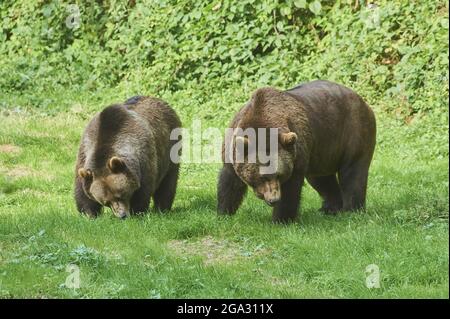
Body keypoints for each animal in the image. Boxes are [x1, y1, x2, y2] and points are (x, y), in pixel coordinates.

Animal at [218, 81, 376, 224]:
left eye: (279, 174)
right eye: (263, 176)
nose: (274, 199)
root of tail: (363, 102)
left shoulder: (295, 153)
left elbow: (290, 189)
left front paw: (281, 220)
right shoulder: (232, 147)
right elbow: (229, 182)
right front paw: (224, 212)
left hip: (353, 131)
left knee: (353, 173)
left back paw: (352, 210)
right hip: (321, 151)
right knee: (322, 180)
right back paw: (330, 208)